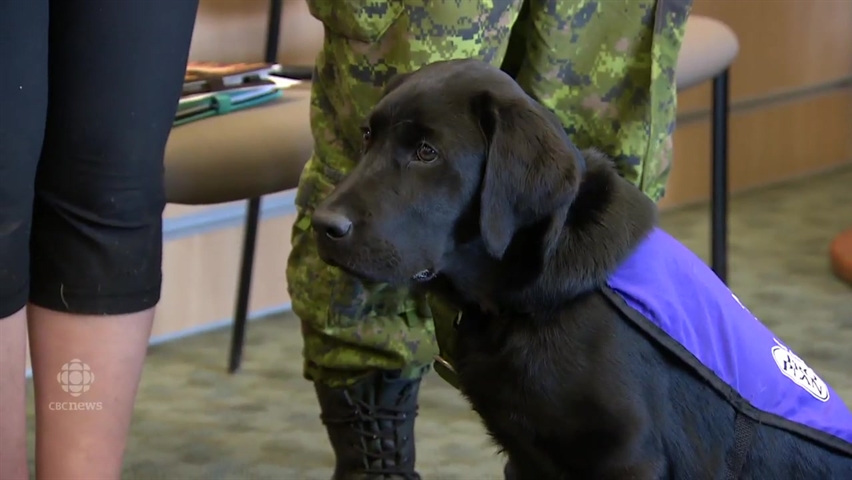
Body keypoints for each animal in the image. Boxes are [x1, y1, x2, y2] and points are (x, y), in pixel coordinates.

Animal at [312, 58, 852, 478]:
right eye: (367, 135)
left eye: (427, 153)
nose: (322, 224)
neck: (523, 293)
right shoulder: (523, 456)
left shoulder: (628, 458)